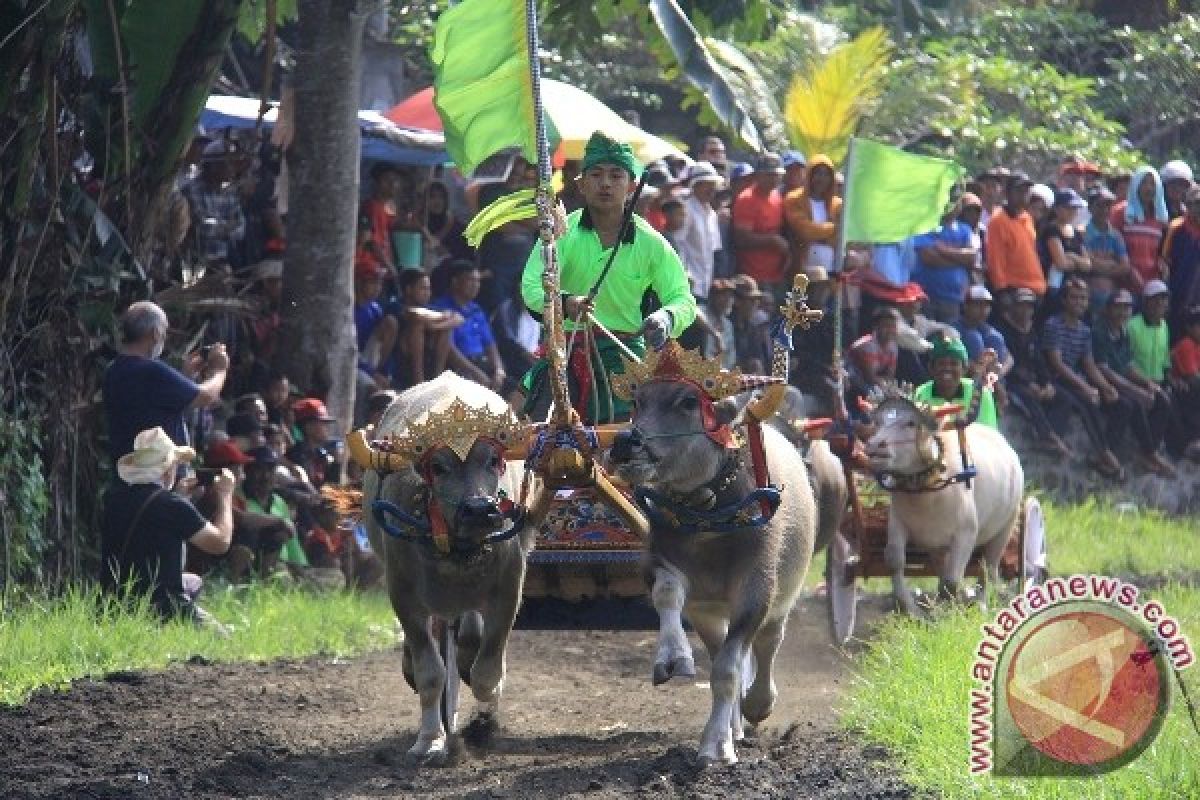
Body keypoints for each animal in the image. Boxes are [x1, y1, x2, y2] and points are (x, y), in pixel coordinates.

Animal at [609, 379, 816, 767]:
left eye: (689, 401)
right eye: (638, 400)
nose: (624, 442)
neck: (708, 525)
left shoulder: (757, 589)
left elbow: (727, 670)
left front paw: (717, 747)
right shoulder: (668, 569)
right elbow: (667, 594)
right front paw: (672, 657)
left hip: (783, 596)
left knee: (767, 644)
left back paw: (758, 704)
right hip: (711, 614)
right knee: (720, 646)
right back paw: (735, 724)